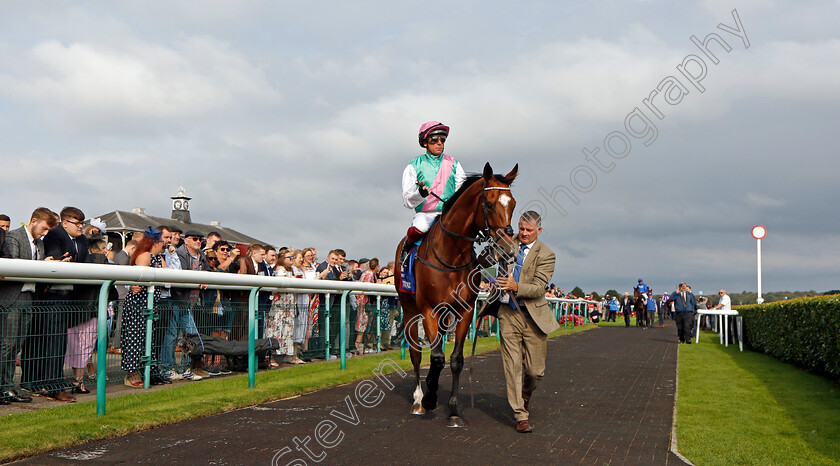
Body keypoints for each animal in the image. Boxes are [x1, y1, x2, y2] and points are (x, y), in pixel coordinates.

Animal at [396, 162, 520, 428]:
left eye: (513, 203)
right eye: (489, 204)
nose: (507, 248)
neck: (450, 256)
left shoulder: (464, 311)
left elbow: (454, 359)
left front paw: (453, 410)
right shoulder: (428, 310)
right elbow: (435, 358)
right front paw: (429, 399)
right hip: (410, 310)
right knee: (415, 353)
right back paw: (419, 399)